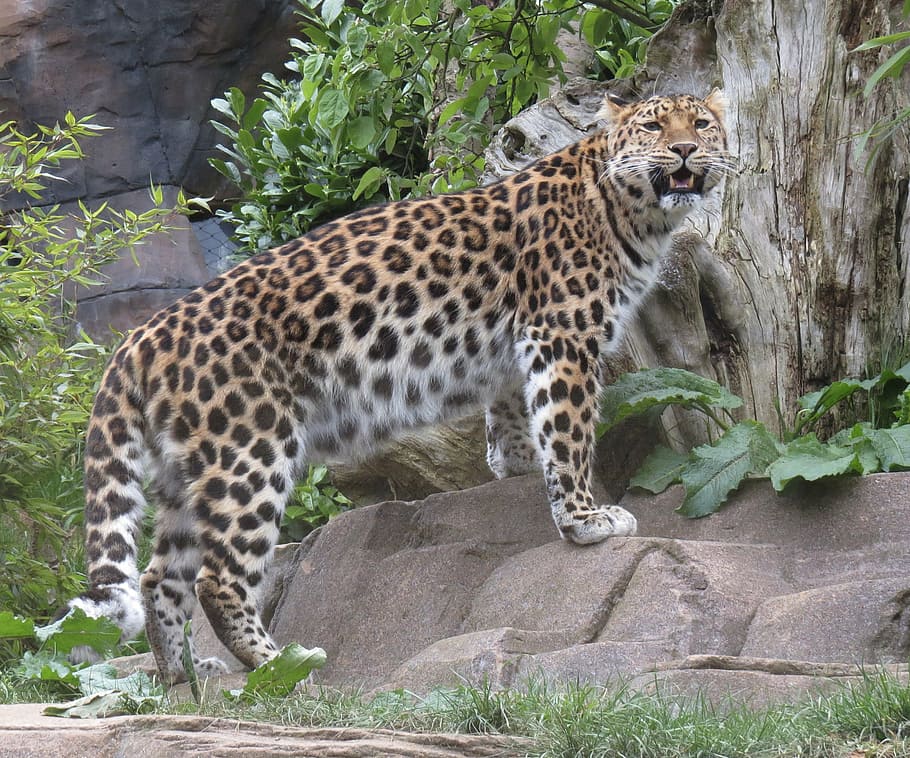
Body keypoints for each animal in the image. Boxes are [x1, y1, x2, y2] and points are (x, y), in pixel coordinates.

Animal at [65, 91, 730, 682]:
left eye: (700, 123)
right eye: (653, 127)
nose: (685, 149)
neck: (636, 214)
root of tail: (139, 337)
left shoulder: (522, 344)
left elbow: (514, 408)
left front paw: (513, 464)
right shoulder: (562, 334)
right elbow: (567, 431)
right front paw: (585, 519)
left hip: (184, 472)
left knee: (159, 577)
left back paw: (183, 674)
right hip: (249, 450)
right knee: (218, 577)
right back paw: (280, 664)